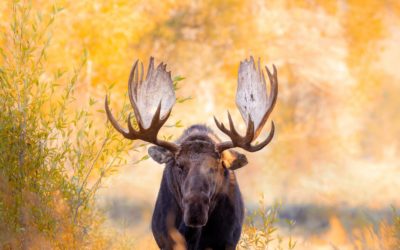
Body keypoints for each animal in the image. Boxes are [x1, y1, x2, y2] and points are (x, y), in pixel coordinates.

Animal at [104, 55, 276, 249]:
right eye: (179, 165)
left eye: (216, 166)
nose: (196, 210)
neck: (192, 236)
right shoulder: (166, 241)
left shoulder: (226, 242)